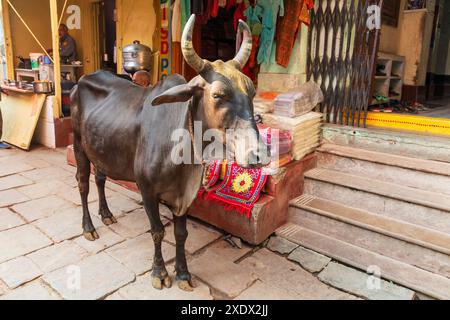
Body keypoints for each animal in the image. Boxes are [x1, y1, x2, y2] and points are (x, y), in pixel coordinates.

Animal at [70, 15, 268, 292]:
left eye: (251, 92)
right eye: (218, 94)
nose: (257, 154)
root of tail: (83, 80)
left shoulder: (184, 196)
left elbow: (180, 234)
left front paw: (183, 274)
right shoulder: (147, 190)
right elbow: (158, 232)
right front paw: (160, 273)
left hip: (100, 149)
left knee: (99, 179)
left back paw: (107, 215)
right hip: (79, 145)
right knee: (83, 184)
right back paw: (88, 227)